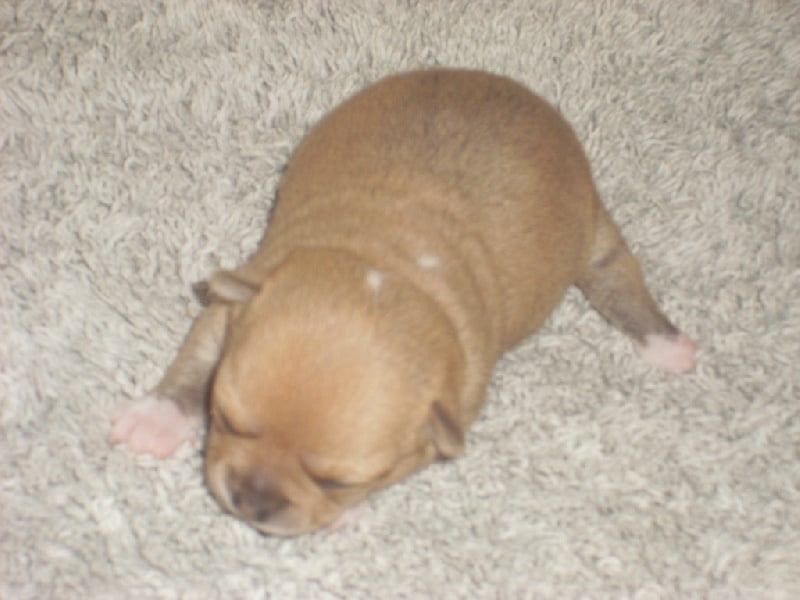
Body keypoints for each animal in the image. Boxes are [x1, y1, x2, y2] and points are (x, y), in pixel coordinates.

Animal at [110, 69, 696, 536]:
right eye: (227, 420)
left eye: (336, 481)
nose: (250, 502)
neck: (384, 264)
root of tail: (522, 94)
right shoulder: (236, 300)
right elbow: (197, 358)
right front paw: (156, 419)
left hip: (591, 231)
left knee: (618, 278)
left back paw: (668, 344)